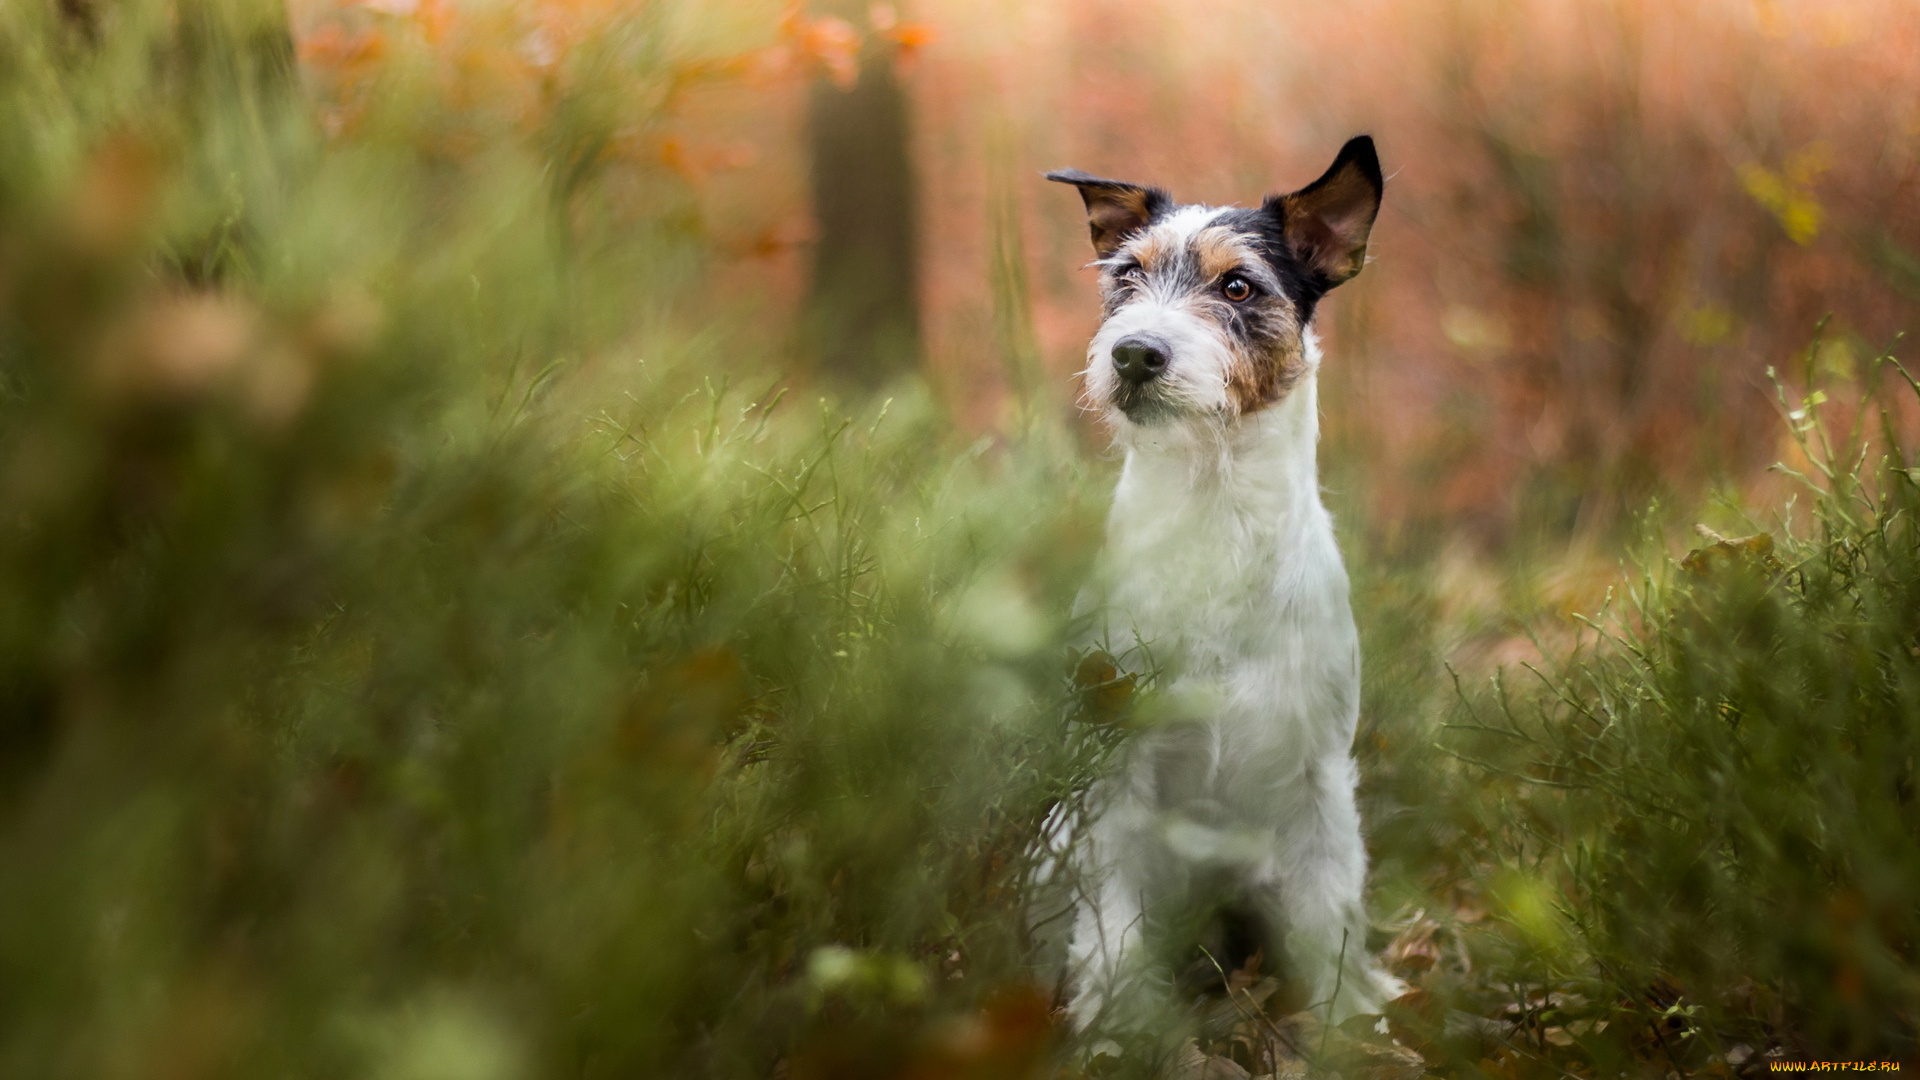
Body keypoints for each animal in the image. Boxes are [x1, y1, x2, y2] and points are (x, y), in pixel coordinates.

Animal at [1036, 136, 1397, 1037]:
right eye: (1126, 276)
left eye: (1238, 287)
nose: (1135, 353)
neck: (1215, 517)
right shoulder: (1115, 782)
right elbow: (1112, 931)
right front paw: (1119, 1034)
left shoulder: (1316, 779)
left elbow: (1329, 916)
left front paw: (1344, 1030)